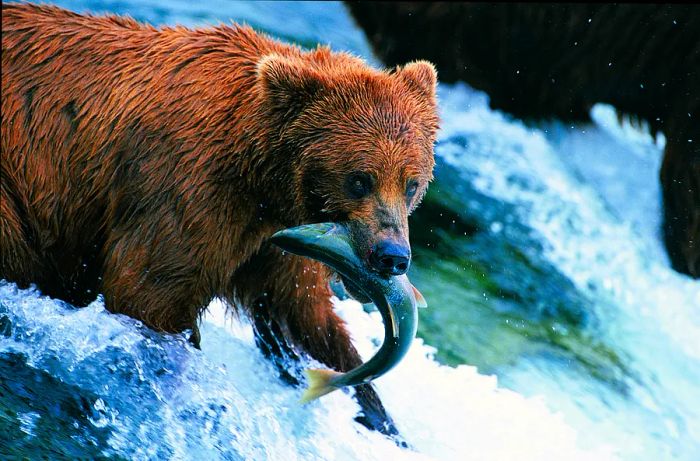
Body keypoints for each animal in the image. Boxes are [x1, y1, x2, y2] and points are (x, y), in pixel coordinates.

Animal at [0, 2, 438, 434]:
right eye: (360, 179)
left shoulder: (271, 237)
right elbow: (148, 295)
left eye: (411, 183)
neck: (258, 170)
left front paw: (380, 415)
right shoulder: (187, 189)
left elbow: (302, 314)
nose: (392, 255)